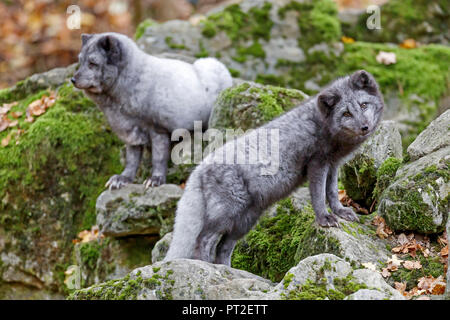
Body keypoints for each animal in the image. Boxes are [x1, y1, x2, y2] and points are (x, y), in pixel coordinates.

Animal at [71, 32, 232, 189]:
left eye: (93, 63)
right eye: (80, 61)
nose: (73, 80)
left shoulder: (158, 129)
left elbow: (158, 158)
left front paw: (156, 179)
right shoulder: (130, 132)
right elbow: (132, 160)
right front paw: (124, 178)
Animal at [165, 69, 384, 264]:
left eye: (364, 105)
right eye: (346, 113)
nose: (365, 126)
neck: (324, 126)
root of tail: (198, 170)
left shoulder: (333, 164)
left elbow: (331, 192)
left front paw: (340, 211)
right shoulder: (318, 164)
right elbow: (319, 196)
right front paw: (324, 218)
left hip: (245, 221)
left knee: (223, 248)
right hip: (227, 213)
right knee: (203, 240)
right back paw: (207, 267)